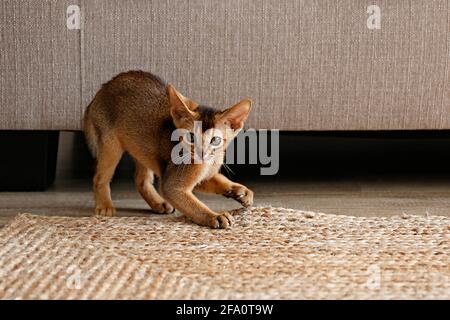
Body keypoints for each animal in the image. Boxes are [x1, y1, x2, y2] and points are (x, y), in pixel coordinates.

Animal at [83, 71, 253, 229]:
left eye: (215, 140)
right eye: (191, 137)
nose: (201, 153)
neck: (206, 164)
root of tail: (103, 88)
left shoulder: (201, 177)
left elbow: (219, 180)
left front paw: (239, 190)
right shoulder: (172, 185)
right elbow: (193, 205)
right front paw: (214, 216)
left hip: (142, 148)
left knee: (141, 180)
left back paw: (158, 203)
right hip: (111, 145)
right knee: (99, 178)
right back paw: (104, 206)